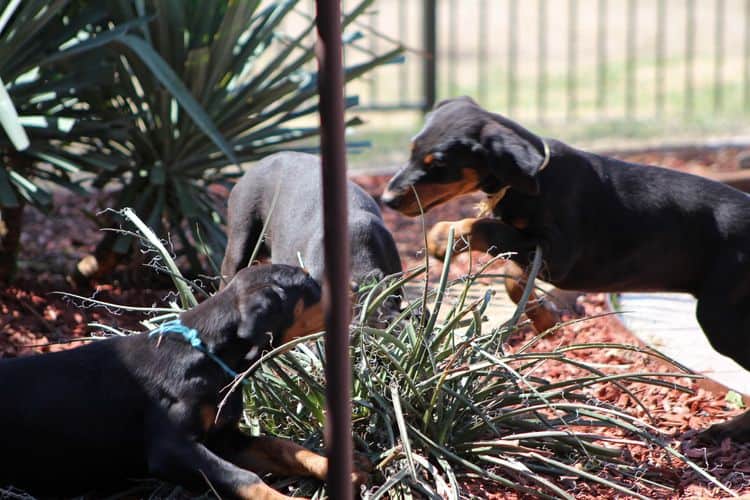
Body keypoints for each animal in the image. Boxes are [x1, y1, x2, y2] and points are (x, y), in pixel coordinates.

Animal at [0, 264, 368, 498]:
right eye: (310, 285)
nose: (357, 286)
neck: (208, 357)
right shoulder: (172, 448)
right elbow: (243, 478)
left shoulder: (223, 438)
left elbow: (284, 447)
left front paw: (343, 467)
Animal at [382, 96, 750, 442]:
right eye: (412, 150)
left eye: (439, 164)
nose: (387, 200)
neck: (533, 179)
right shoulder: (537, 253)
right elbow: (513, 275)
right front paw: (545, 317)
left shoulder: (559, 253)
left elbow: (486, 232)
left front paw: (447, 235)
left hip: (720, 317)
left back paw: (731, 428)